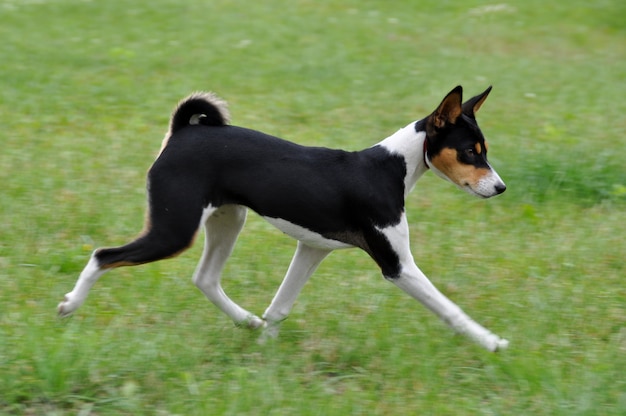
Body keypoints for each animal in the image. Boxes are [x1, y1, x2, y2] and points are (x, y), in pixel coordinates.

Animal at [57, 87, 508, 352]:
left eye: (483, 150)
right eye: (470, 152)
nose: (501, 187)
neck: (389, 169)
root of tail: (184, 132)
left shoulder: (311, 248)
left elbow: (280, 306)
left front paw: (266, 349)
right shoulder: (398, 266)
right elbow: (449, 308)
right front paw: (490, 341)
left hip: (227, 221)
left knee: (204, 278)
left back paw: (246, 321)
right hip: (174, 230)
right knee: (102, 255)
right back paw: (69, 305)